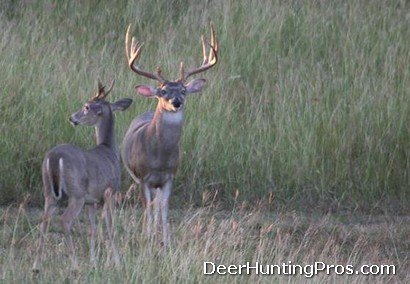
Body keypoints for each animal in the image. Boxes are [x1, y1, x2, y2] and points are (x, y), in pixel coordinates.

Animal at [33, 79, 133, 270]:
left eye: (86, 107)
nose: (72, 117)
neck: (109, 150)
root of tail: (54, 157)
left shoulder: (91, 201)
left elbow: (93, 229)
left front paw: (93, 261)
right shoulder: (110, 191)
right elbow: (110, 227)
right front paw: (117, 262)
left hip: (49, 192)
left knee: (44, 221)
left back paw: (36, 265)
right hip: (76, 193)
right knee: (64, 221)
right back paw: (74, 265)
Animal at [121, 22, 218, 244]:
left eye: (183, 90)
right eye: (163, 91)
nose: (176, 102)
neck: (159, 158)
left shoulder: (169, 176)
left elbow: (164, 208)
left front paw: (166, 240)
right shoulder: (143, 177)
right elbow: (147, 208)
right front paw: (146, 237)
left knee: (157, 204)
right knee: (150, 205)